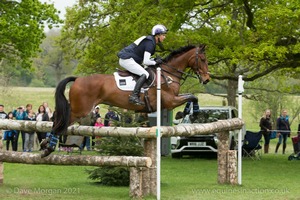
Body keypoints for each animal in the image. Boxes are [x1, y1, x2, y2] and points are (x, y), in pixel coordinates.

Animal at [41, 44, 210, 157]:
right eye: (202, 59)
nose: (207, 79)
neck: (167, 74)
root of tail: (78, 79)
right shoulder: (170, 101)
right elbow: (192, 97)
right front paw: (188, 113)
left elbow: (191, 96)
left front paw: (186, 113)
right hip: (81, 110)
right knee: (60, 121)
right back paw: (49, 147)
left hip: (79, 108)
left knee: (57, 118)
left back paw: (45, 143)